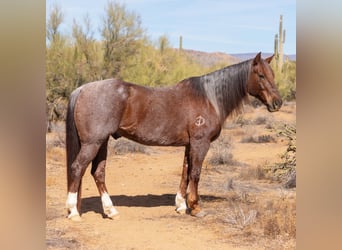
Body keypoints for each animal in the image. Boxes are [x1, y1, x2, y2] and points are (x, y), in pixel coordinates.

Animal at [65, 51, 282, 220]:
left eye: (272, 74)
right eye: (261, 75)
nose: (277, 102)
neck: (208, 98)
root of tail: (82, 89)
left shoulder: (189, 145)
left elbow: (185, 172)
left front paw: (181, 205)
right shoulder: (200, 143)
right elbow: (195, 173)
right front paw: (195, 207)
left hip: (101, 143)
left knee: (98, 173)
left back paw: (110, 211)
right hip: (93, 143)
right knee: (77, 168)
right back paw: (74, 212)